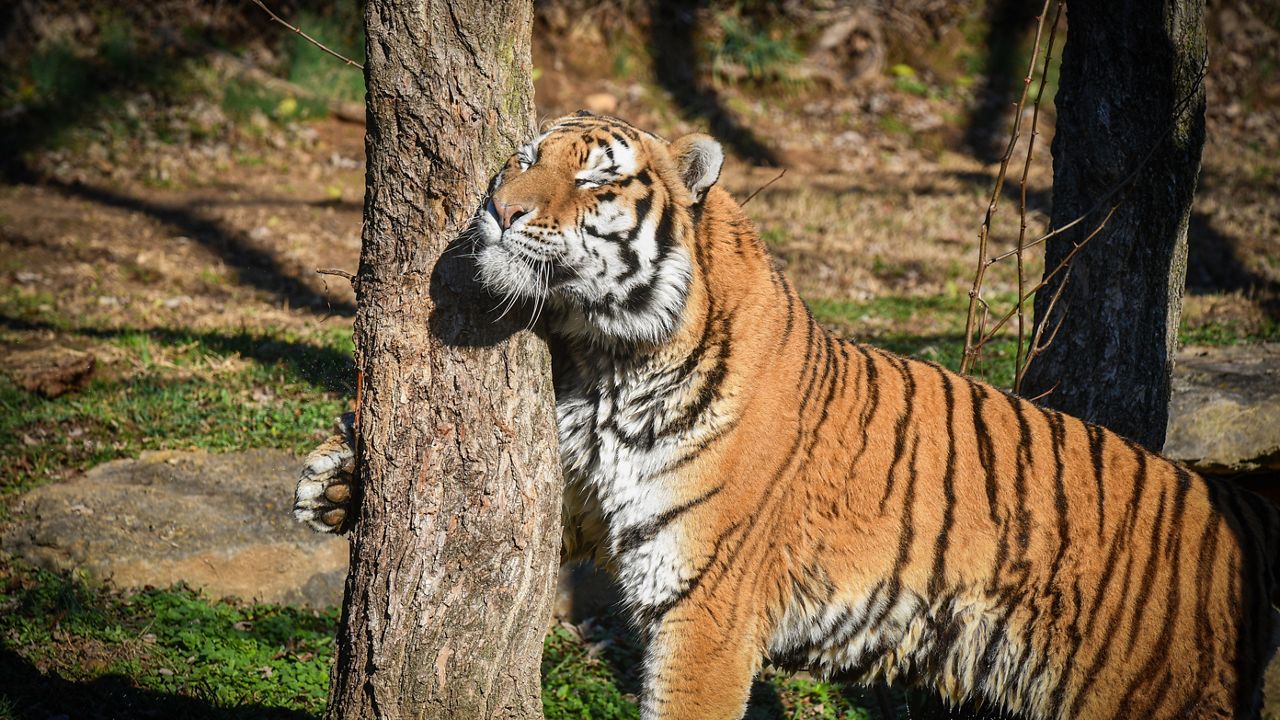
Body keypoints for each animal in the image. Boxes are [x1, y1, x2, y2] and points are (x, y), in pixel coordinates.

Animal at [293, 110, 1280, 717]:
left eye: (597, 183)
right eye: (523, 159)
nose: (499, 210)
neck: (606, 359)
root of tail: (1229, 507)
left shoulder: (708, 605)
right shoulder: (593, 498)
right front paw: (337, 487)